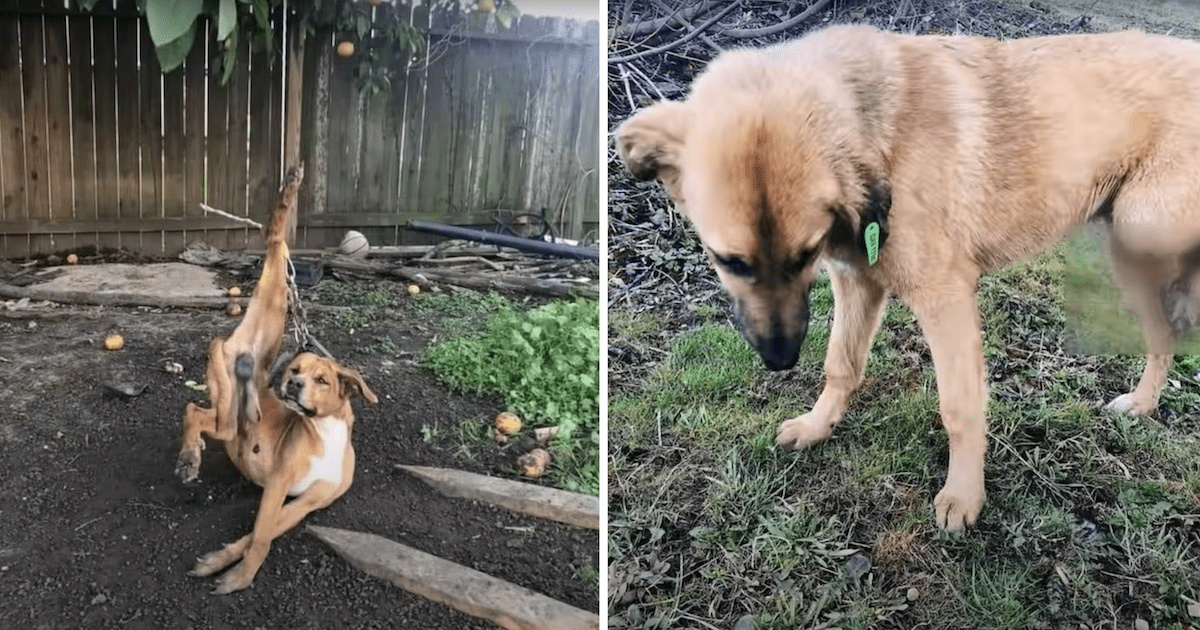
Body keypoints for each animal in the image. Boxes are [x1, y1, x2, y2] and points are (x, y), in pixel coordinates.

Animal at [175, 164, 374, 592]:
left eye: (322, 380)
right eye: (296, 371)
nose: (292, 385)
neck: (326, 434)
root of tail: (241, 345)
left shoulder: (306, 502)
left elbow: (259, 534)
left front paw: (223, 561)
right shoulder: (279, 484)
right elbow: (262, 536)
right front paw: (240, 576)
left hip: (234, 406)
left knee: (197, 410)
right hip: (237, 397)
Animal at [614, 27, 1200, 532]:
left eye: (804, 254)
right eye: (730, 261)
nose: (780, 360)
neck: (881, 136)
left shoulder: (945, 301)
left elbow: (959, 407)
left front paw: (964, 496)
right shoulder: (858, 282)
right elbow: (841, 365)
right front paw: (818, 427)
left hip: (1140, 234)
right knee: (1165, 332)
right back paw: (1143, 404)